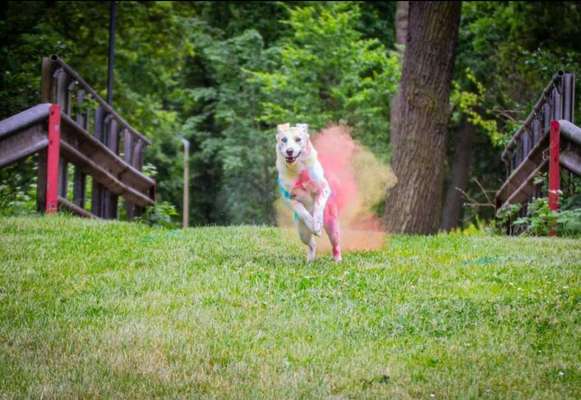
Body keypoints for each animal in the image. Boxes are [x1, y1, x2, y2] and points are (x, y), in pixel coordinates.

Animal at [276, 123, 340, 264]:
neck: (298, 169)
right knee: (312, 244)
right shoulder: (289, 198)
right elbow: (303, 212)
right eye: (284, 140)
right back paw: (310, 261)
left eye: (298, 139)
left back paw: (337, 260)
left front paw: (317, 223)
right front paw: (312, 224)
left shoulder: (323, 188)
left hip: (332, 227)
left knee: (335, 245)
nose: (289, 151)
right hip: (302, 233)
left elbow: (318, 206)